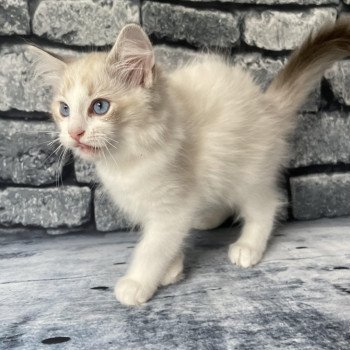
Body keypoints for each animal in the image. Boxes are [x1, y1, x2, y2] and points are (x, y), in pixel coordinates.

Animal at [29, 19, 350, 304]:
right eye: (64, 110)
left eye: (100, 107)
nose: (74, 133)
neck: (126, 159)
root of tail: (267, 105)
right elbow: (166, 240)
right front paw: (171, 269)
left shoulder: (171, 205)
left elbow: (153, 247)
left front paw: (138, 282)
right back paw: (207, 218)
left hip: (246, 170)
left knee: (266, 204)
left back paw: (247, 247)